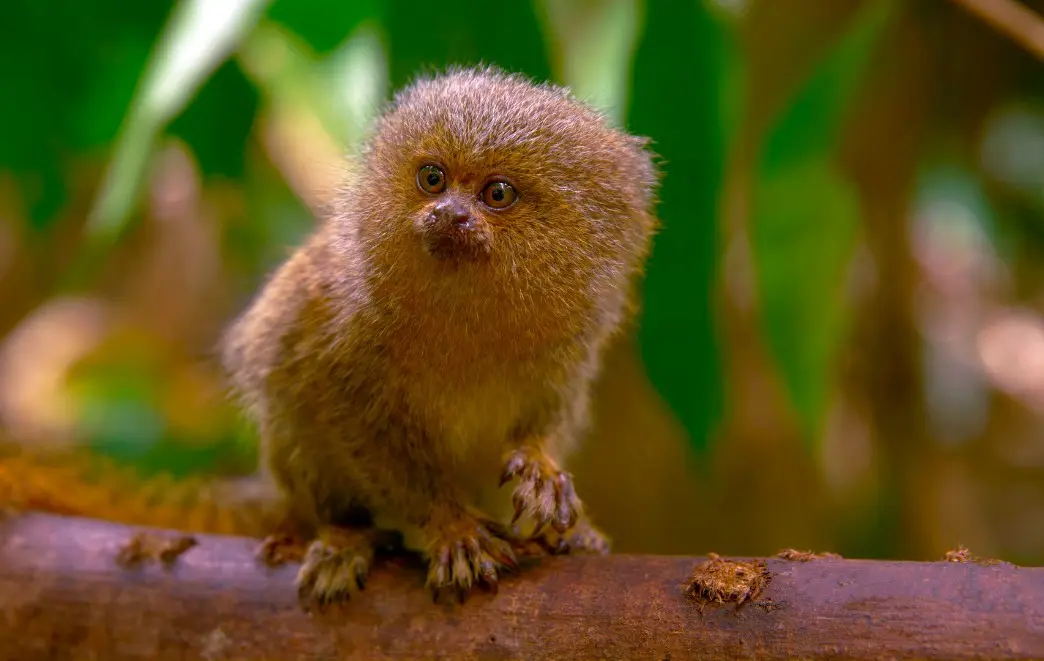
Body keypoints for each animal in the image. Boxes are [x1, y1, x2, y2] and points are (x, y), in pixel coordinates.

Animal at [220, 66, 660, 605]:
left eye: (497, 193)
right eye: (433, 179)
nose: (449, 213)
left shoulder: (571, 348)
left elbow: (545, 420)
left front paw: (541, 467)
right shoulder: (343, 337)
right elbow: (366, 434)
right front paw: (452, 530)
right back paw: (346, 537)